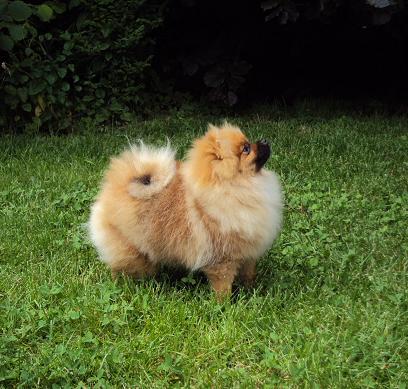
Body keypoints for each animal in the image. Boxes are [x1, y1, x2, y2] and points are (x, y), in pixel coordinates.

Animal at [87, 123, 282, 298]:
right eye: (246, 149)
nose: (264, 140)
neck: (236, 186)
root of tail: (117, 185)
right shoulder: (222, 260)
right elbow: (223, 284)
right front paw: (225, 304)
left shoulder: (249, 251)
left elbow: (249, 273)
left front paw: (251, 290)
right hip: (130, 248)